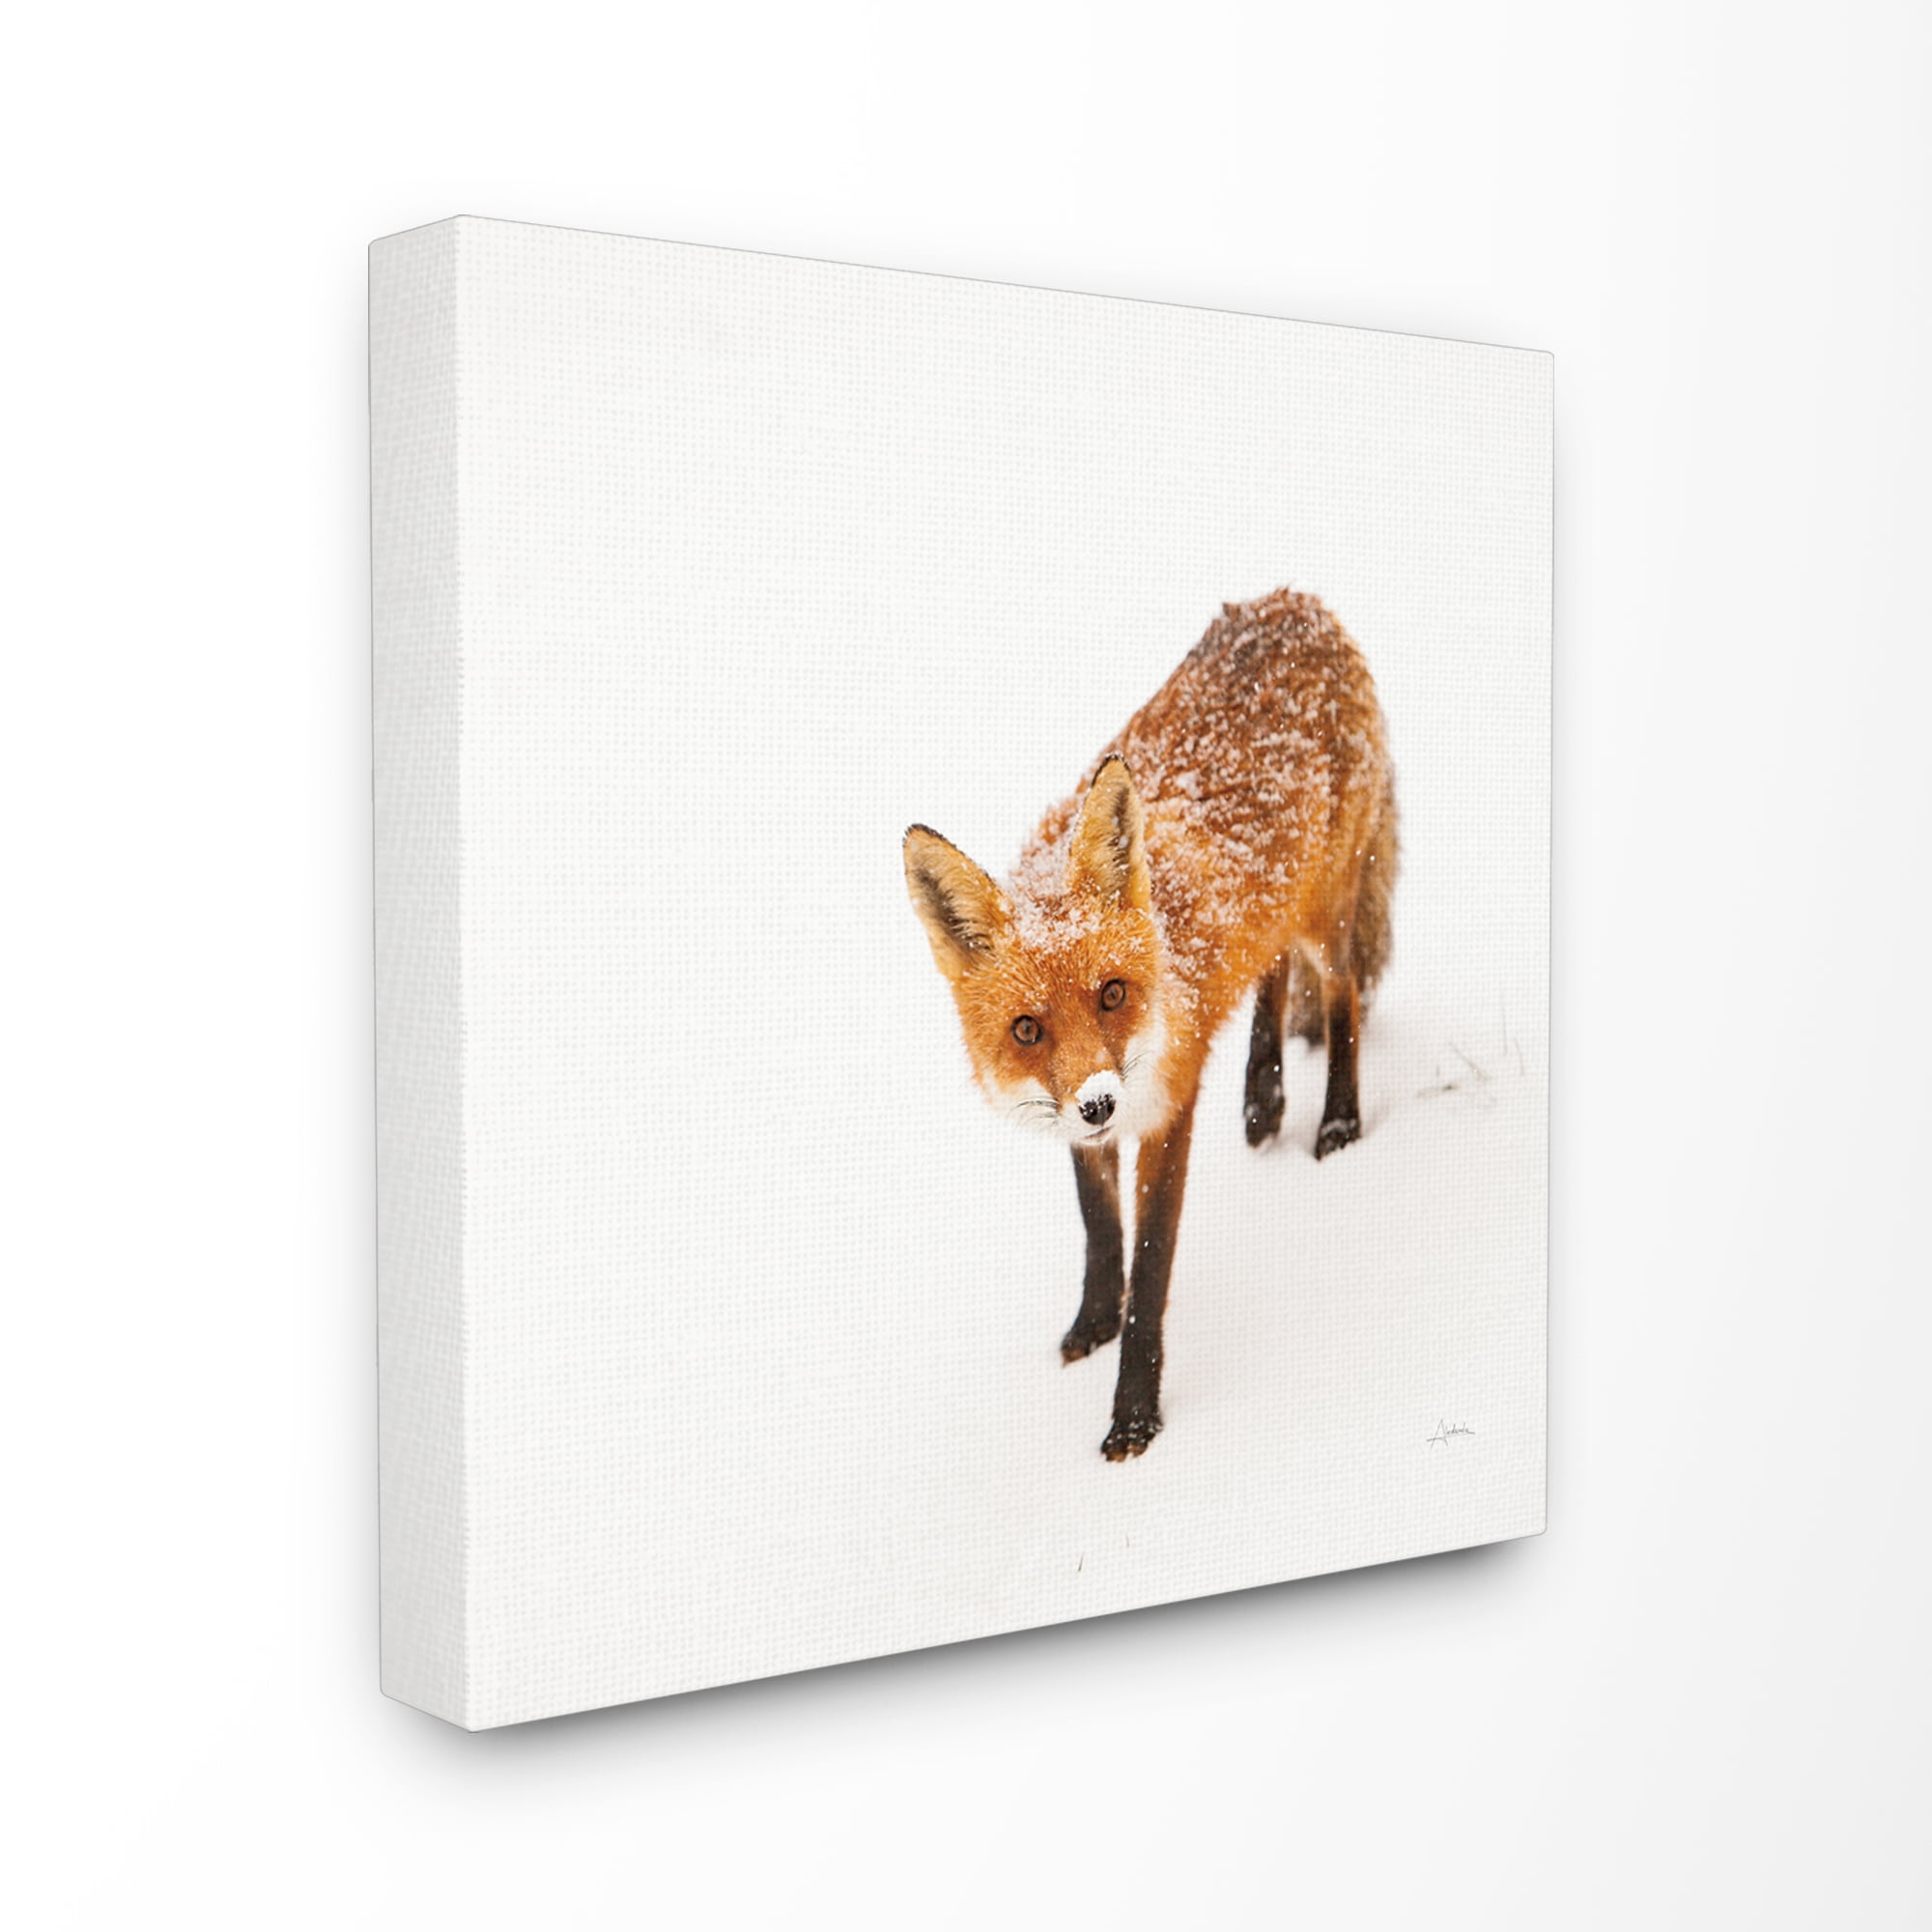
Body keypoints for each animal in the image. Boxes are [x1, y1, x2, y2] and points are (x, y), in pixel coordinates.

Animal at [903, 587, 1397, 1461]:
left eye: (1111, 994)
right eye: (1026, 1030)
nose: (1099, 1102)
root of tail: (1292, 599)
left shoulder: (1168, 1111)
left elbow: (1152, 1265)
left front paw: (1134, 1414)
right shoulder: (1077, 1121)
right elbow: (1100, 1231)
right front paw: (1092, 1325)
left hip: (1327, 914)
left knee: (1336, 997)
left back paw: (1337, 1123)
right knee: (1269, 969)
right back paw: (1263, 1099)